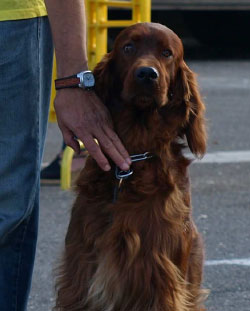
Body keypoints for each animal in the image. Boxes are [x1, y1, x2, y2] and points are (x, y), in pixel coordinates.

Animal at [55, 23, 207, 310]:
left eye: (167, 53)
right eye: (128, 47)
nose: (147, 74)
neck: (132, 160)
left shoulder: (159, 277)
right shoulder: (80, 272)